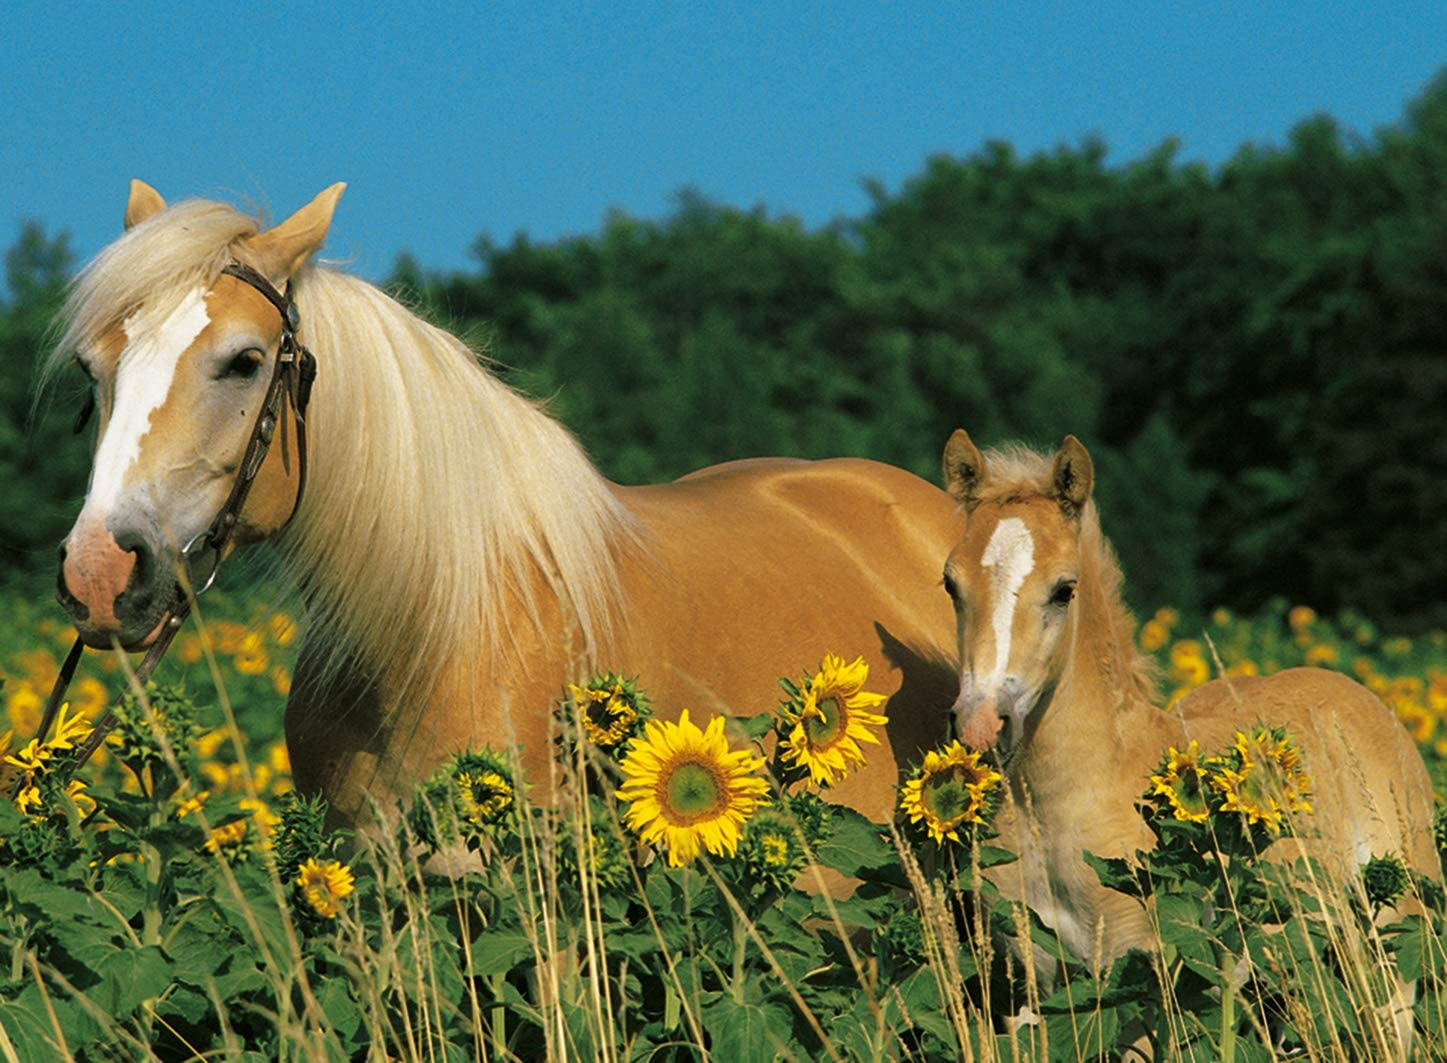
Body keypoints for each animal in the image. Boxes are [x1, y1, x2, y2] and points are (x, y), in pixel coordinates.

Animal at [938, 427, 1439, 1046]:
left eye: (1063, 590)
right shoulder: (1031, 984)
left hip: (1392, 951)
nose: (982, 723)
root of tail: (1367, 701)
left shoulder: (1137, 985)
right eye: (950, 583)